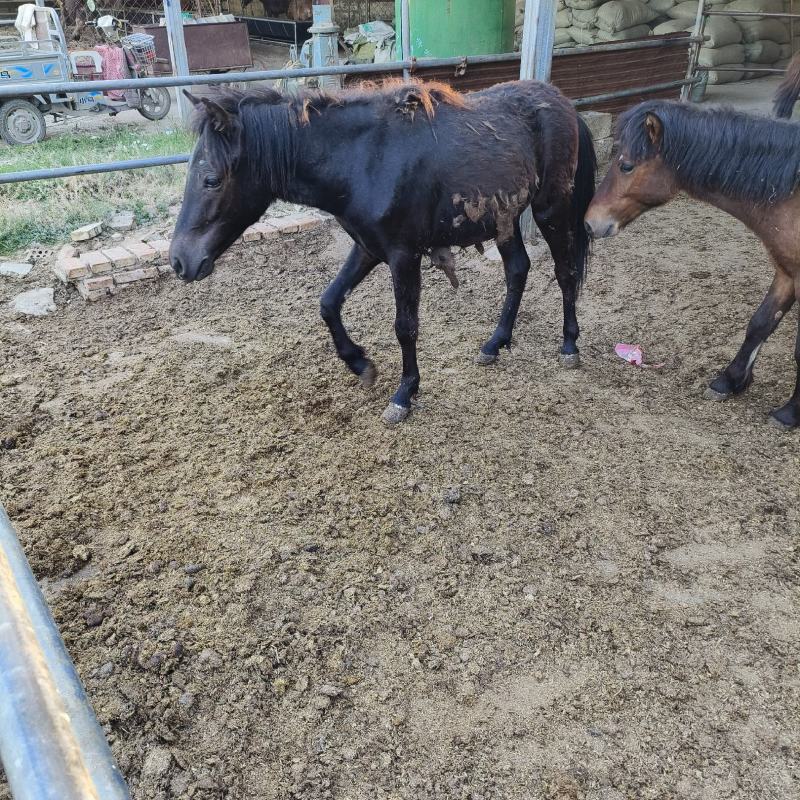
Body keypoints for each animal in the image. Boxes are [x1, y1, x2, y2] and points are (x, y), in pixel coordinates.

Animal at [169, 80, 596, 425]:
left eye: (211, 179)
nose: (179, 261)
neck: (364, 160)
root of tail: (564, 103)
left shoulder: (403, 255)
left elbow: (405, 327)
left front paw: (404, 394)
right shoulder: (367, 248)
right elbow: (328, 302)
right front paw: (360, 363)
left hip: (551, 209)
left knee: (565, 272)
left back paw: (569, 346)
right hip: (505, 218)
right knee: (518, 270)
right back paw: (495, 343)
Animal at [584, 99, 800, 428]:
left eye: (626, 165)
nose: (589, 223)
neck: (791, 196)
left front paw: (791, 412)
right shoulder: (786, 271)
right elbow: (761, 323)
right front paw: (729, 381)